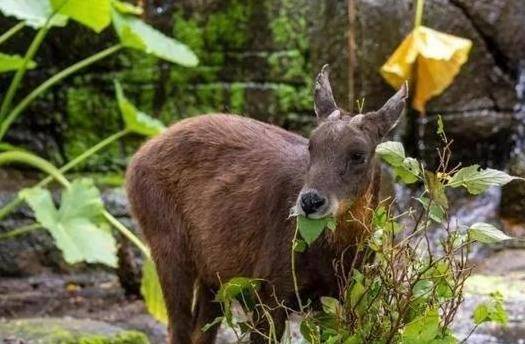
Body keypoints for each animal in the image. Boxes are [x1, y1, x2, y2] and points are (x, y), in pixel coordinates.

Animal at [125, 65, 408, 344]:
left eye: (358, 154)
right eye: (311, 145)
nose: (310, 201)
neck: (335, 252)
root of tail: (136, 159)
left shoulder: (344, 296)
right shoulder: (268, 291)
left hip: (212, 274)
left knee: (200, 332)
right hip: (168, 246)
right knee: (178, 329)